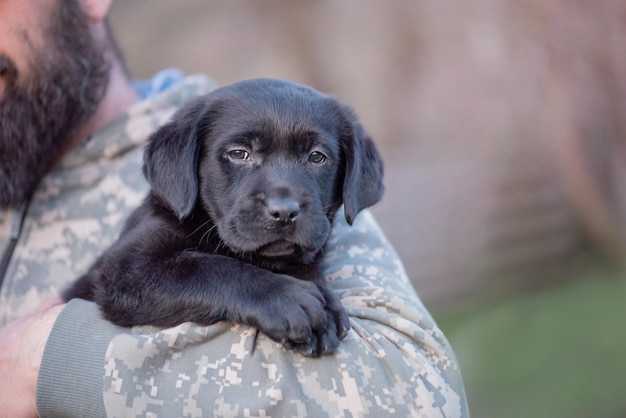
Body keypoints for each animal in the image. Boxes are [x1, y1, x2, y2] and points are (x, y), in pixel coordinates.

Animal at [66, 77, 382, 356]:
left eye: (317, 157)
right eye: (239, 154)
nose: (283, 211)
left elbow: (299, 265)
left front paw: (325, 300)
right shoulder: (128, 268)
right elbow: (210, 268)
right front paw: (288, 299)